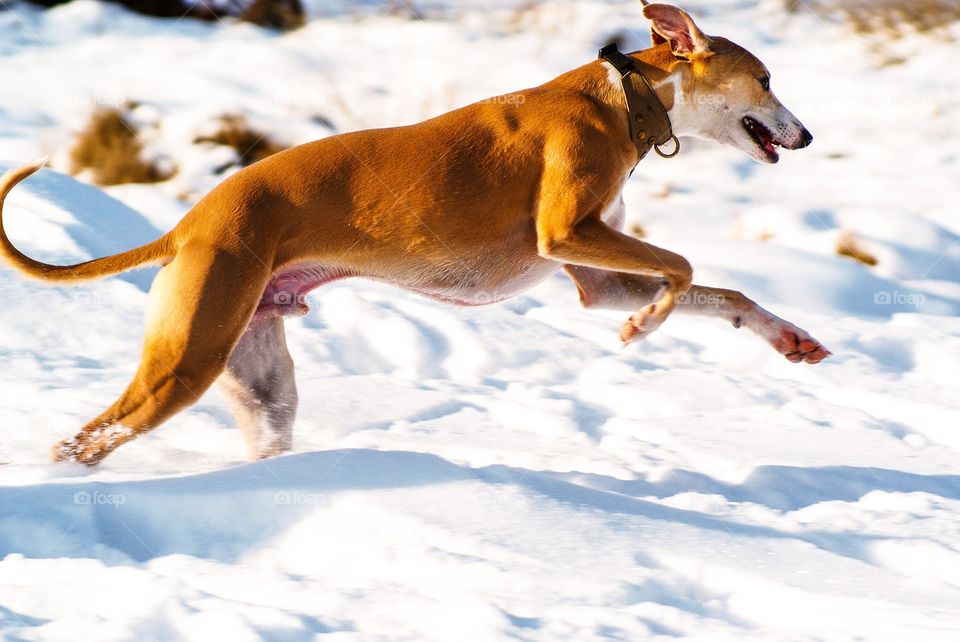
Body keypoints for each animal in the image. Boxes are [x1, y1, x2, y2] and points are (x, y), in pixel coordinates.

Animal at [0, 5, 824, 464]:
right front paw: (644, 326)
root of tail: (186, 225)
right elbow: (679, 268)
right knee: (86, 441)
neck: (625, 98)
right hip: (185, 362)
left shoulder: (594, 273)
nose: (808, 136)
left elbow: (721, 292)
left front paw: (789, 337)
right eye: (767, 79)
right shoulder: (566, 231)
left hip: (259, 377)